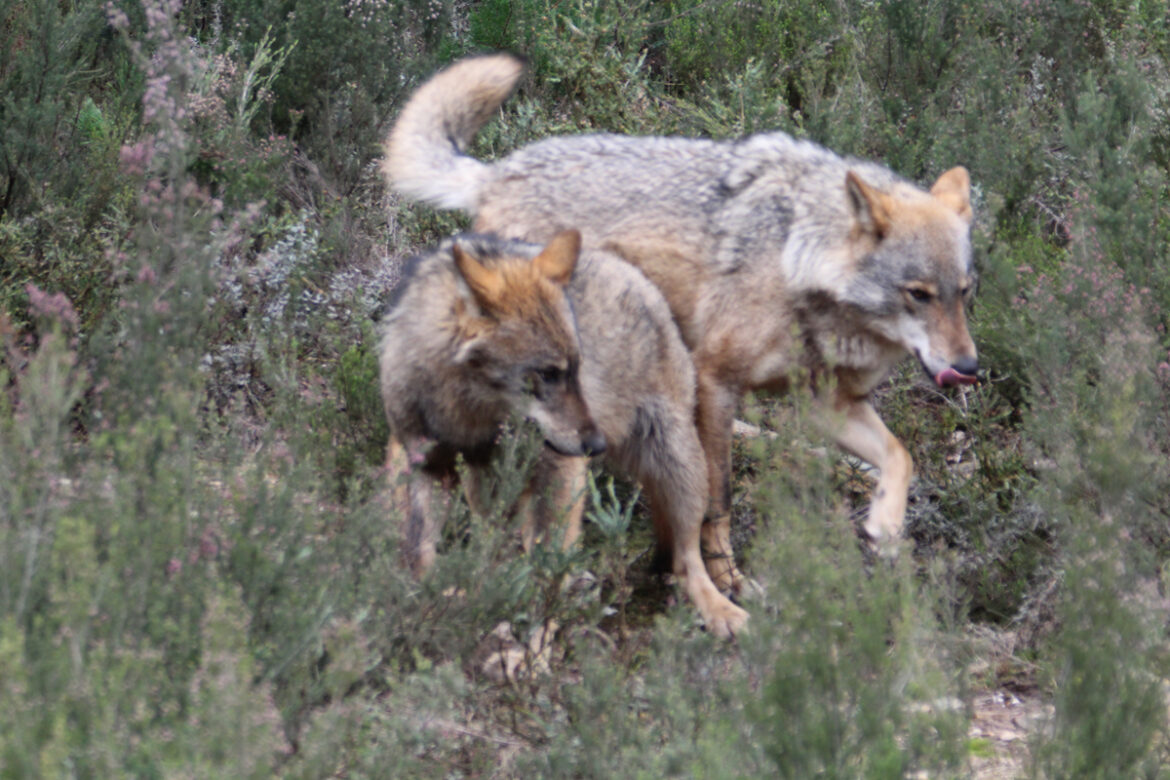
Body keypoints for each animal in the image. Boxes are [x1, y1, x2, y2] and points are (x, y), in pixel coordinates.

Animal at [379, 229, 749, 637]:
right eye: (548, 374)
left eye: (576, 369)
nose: (596, 444)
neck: (469, 415)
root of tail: (638, 276)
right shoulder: (421, 462)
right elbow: (417, 552)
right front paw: (428, 607)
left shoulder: (560, 469)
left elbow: (548, 563)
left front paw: (537, 639)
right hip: (490, 492)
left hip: (678, 467)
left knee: (689, 556)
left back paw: (721, 610)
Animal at [383, 54, 979, 592]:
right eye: (919, 295)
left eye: (965, 293)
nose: (969, 366)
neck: (798, 259)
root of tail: (496, 174)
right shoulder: (717, 383)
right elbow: (718, 500)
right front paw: (729, 580)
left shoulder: (827, 404)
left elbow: (901, 455)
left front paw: (886, 526)